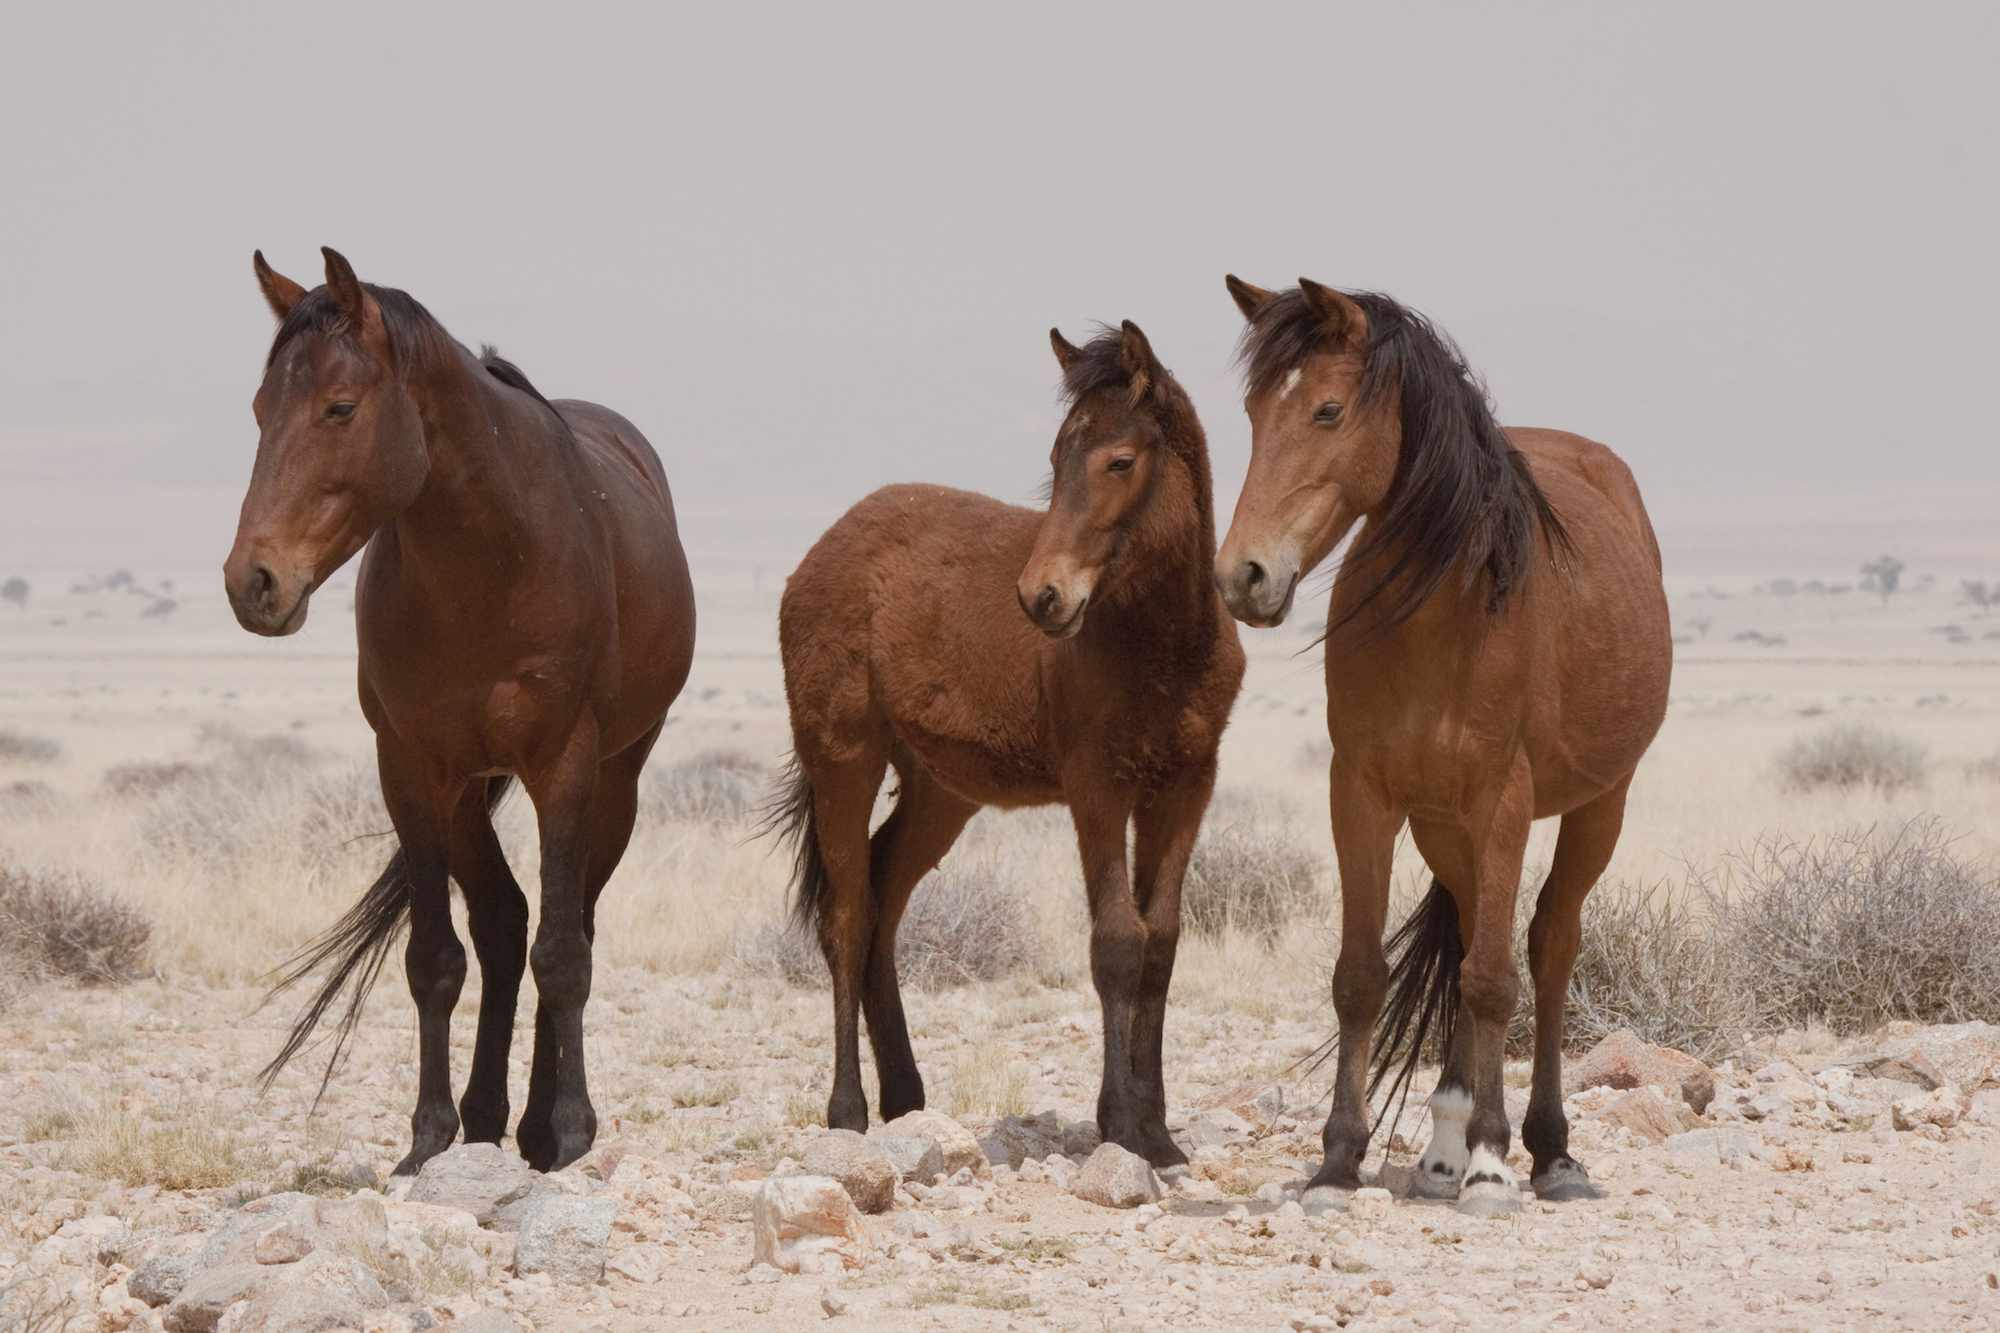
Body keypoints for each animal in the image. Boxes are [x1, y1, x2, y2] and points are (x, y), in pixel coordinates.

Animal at [224, 249, 696, 1176]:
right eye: (261, 409)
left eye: (340, 406)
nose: (252, 582)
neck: (488, 562)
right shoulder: (412, 768)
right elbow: (437, 956)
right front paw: (428, 1137)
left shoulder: (565, 763)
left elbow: (564, 953)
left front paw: (570, 1131)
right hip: (470, 790)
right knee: (504, 921)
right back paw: (487, 1117)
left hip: (617, 779)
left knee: (570, 920)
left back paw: (542, 1123)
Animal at [760, 316, 1232, 1160]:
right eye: (1055, 458)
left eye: (1119, 460)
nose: (1042, 596)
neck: (1163, 643)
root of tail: (821, 552)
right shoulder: (1097, 789)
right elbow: (1118, 942)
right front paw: (1121, 1126)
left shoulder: (1185, 787)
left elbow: (1162, 944)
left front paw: (1158, 1132)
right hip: (844, 760)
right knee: (846, 917)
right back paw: (848, 1110)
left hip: (939, 792)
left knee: (882, 908)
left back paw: (906, 1099)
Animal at [1216, 274, 1672, 1208]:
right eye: (1252, 411)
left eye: (1327, 409)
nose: (1244, 576)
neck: (1443, 615)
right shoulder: (1363, 793)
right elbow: (1360, 976)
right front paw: (1339, 1160)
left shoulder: (1503, 800)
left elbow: (1495, 978)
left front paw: (1494, 1163)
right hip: (1442, 825)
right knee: (1465, 933)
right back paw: (1441, 1148)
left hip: (1597, 806)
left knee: (1546, 945)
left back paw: (1547, 1151)